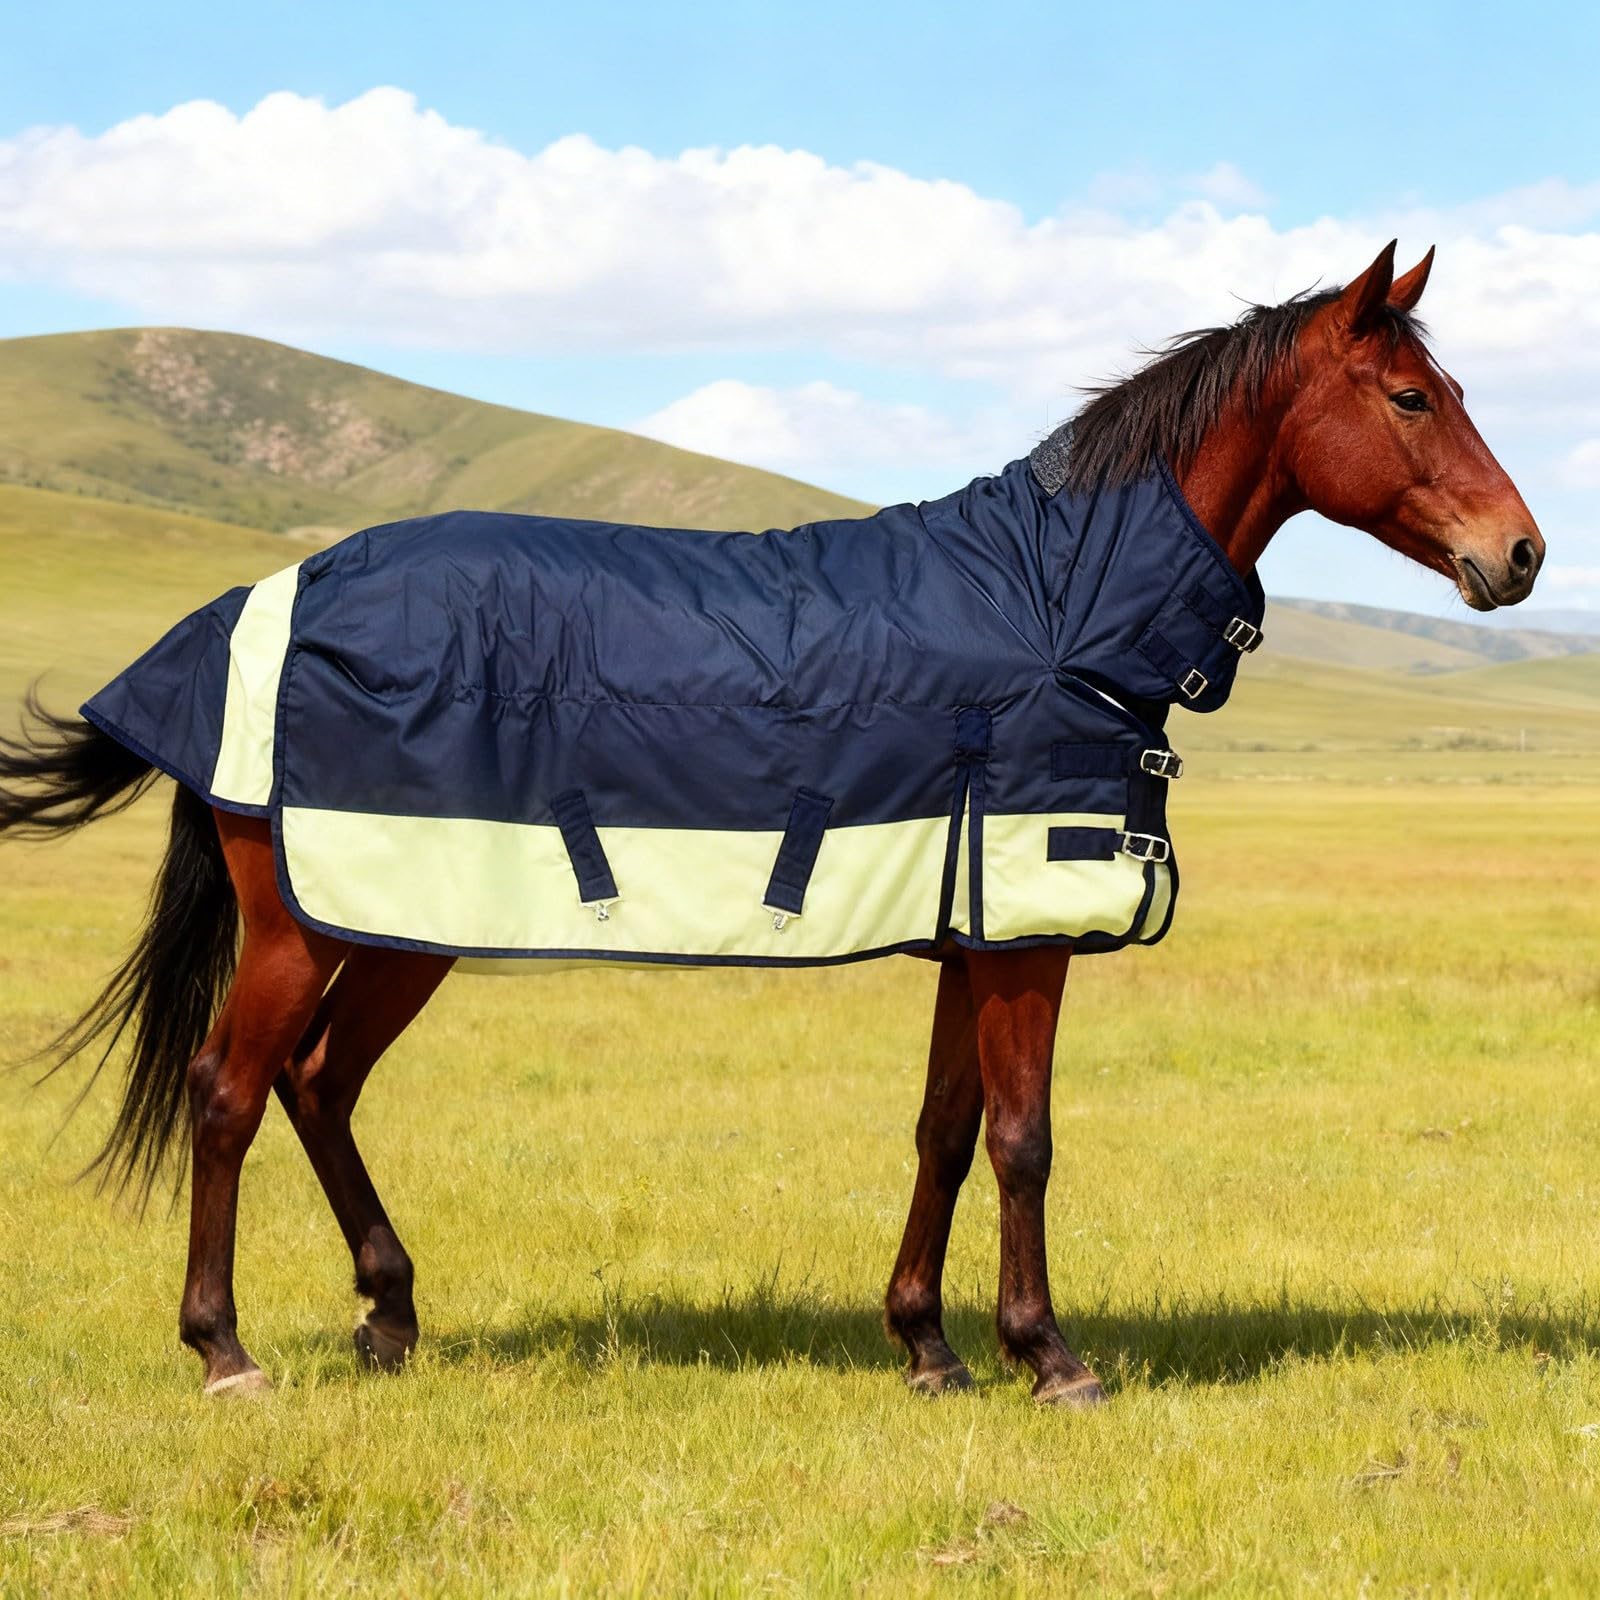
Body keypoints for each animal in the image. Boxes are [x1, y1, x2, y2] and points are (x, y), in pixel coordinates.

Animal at [0, 242, 1543, 1405]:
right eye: (1412, 396)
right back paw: (225, 1350)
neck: (1052, 607)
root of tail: (267, 596)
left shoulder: (970, 929)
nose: (1520, 554)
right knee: (230, 1091)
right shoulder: (1028, 935)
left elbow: (944, 1131)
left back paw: (389, 1316)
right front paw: (1049, 1357)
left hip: (396, 920)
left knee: (321, 1084)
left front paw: (927, 1345)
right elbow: (1025, 1139)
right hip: (301, 924)